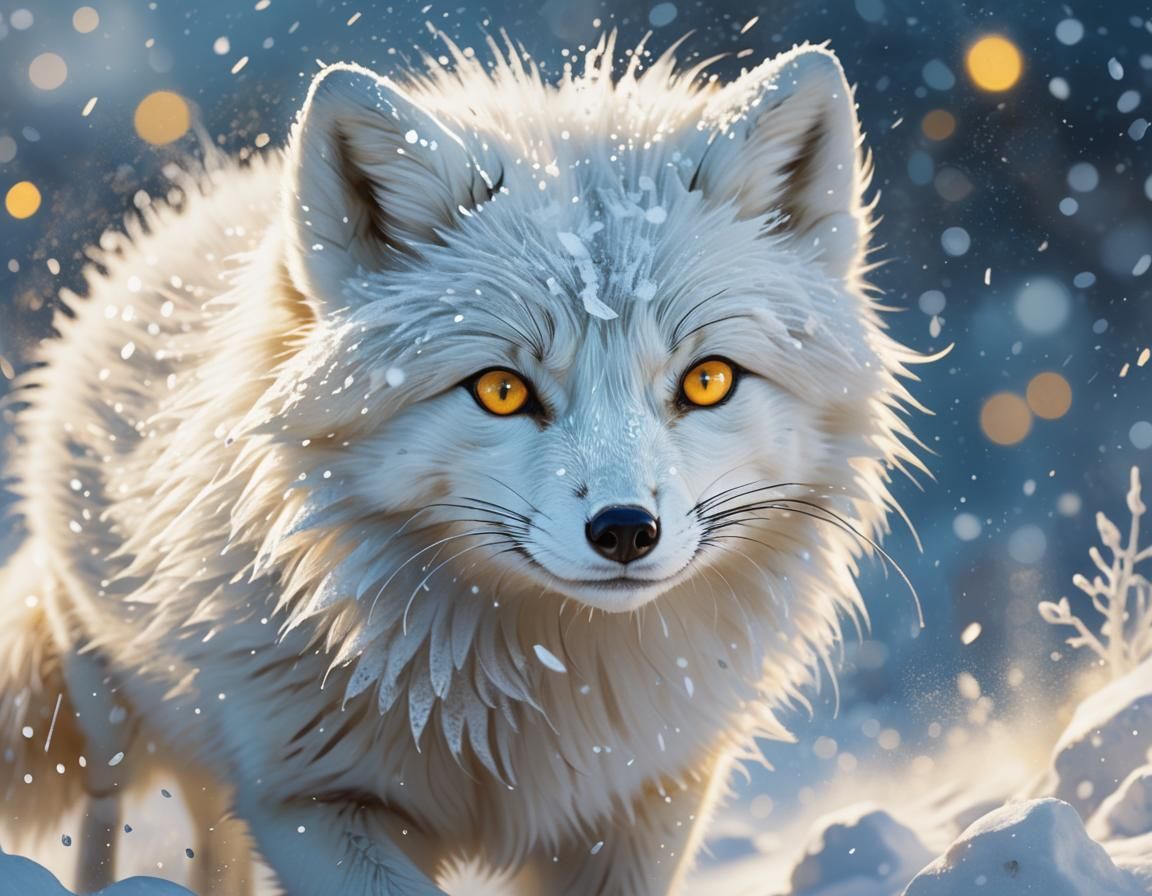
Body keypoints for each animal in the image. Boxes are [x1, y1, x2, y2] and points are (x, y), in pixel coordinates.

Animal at [0, 34, 923, 896]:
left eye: (707, 381)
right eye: (503, 391)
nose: (626, 531)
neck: (527, 695)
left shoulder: (645, 806)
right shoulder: (311, 801)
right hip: (112, 720)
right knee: (105, 820)